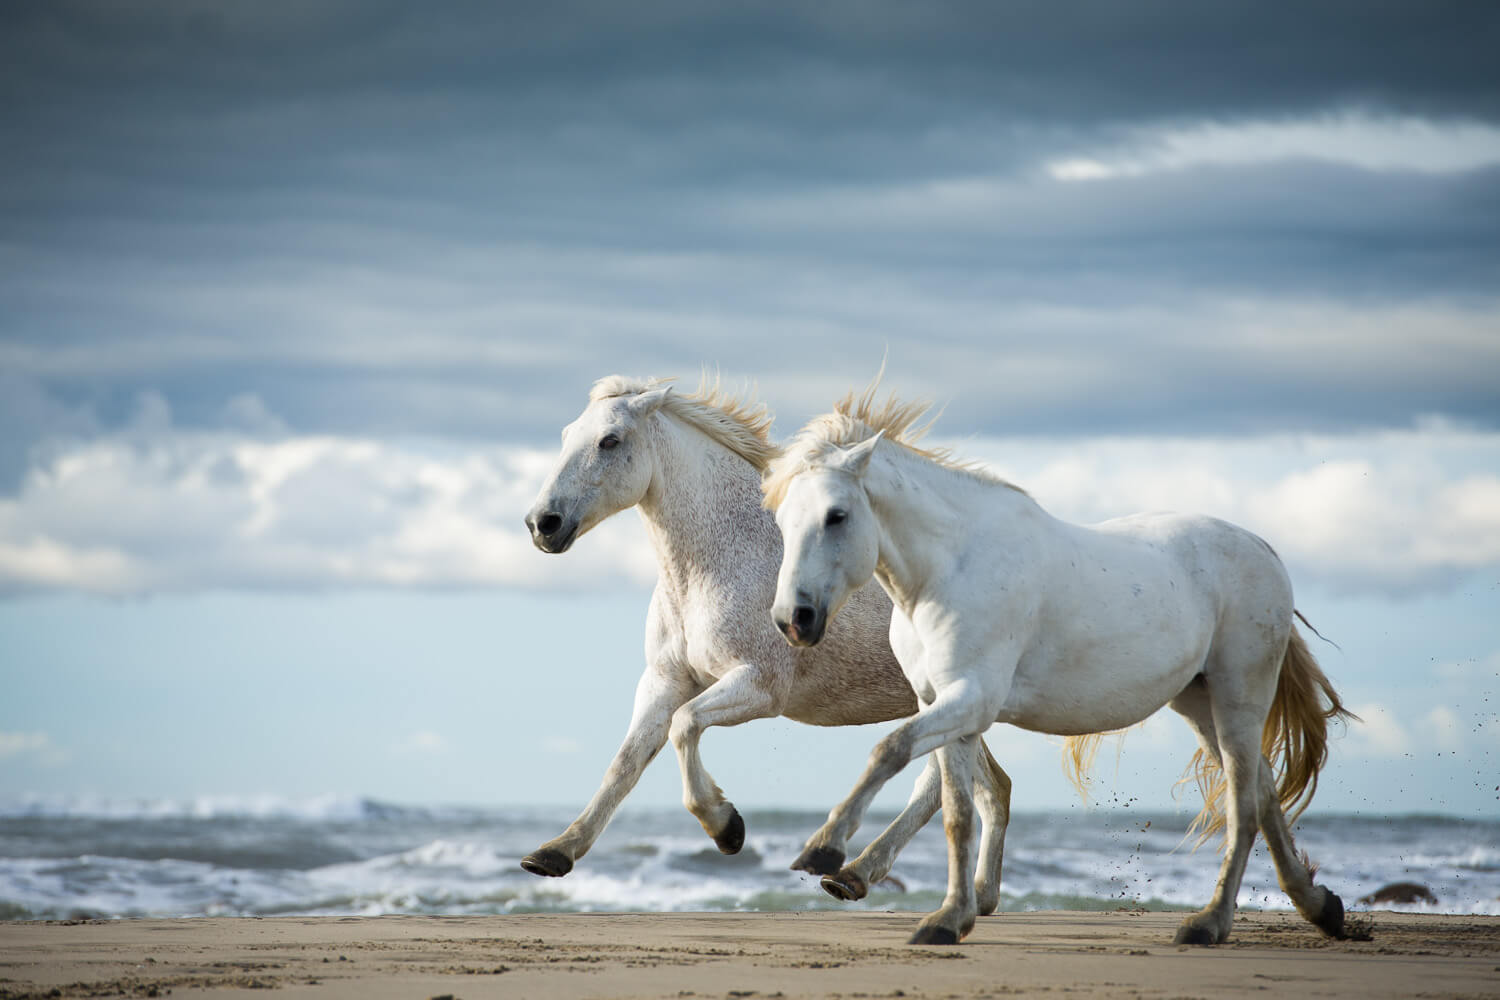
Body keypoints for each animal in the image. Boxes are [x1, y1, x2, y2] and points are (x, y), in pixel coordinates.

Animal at [519, 374, 1020, 905]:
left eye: (610, 440)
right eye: (566, 435)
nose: (543, 523)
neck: (718, 563)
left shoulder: (759, 687)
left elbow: (684, 726)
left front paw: (726, 828)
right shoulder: (664, 681)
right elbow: (625, 763)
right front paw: (554, 853)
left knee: (969, 788)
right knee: (972, 787)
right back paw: (860, 875)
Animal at [768, 386, 1356, 947]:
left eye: (836, 515)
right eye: (782, 520)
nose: (793, 619)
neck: (949, 569)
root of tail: (1264, 549)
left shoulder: (971, 699)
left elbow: (888, 750)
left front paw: (824, 849)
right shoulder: (947, 707)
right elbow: (957, 814)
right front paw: (948, 920)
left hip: (1239, 695)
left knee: (1244, 806)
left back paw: (1209, 924)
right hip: (1199, 702)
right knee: (1263, 791)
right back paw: (1320, 907)